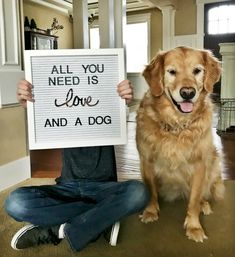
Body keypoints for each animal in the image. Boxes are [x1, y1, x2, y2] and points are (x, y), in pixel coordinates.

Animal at [136, 46, 226, 242]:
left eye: (197, 71)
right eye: (172, 72)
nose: (187, 93)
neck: (177, 124)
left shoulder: (200, 165)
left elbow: (193, 201)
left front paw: (194, 227)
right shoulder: (146, 160)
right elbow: (151, 191)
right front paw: (151, 212)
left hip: (213, 163)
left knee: (203, 194)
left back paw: (204, 205)